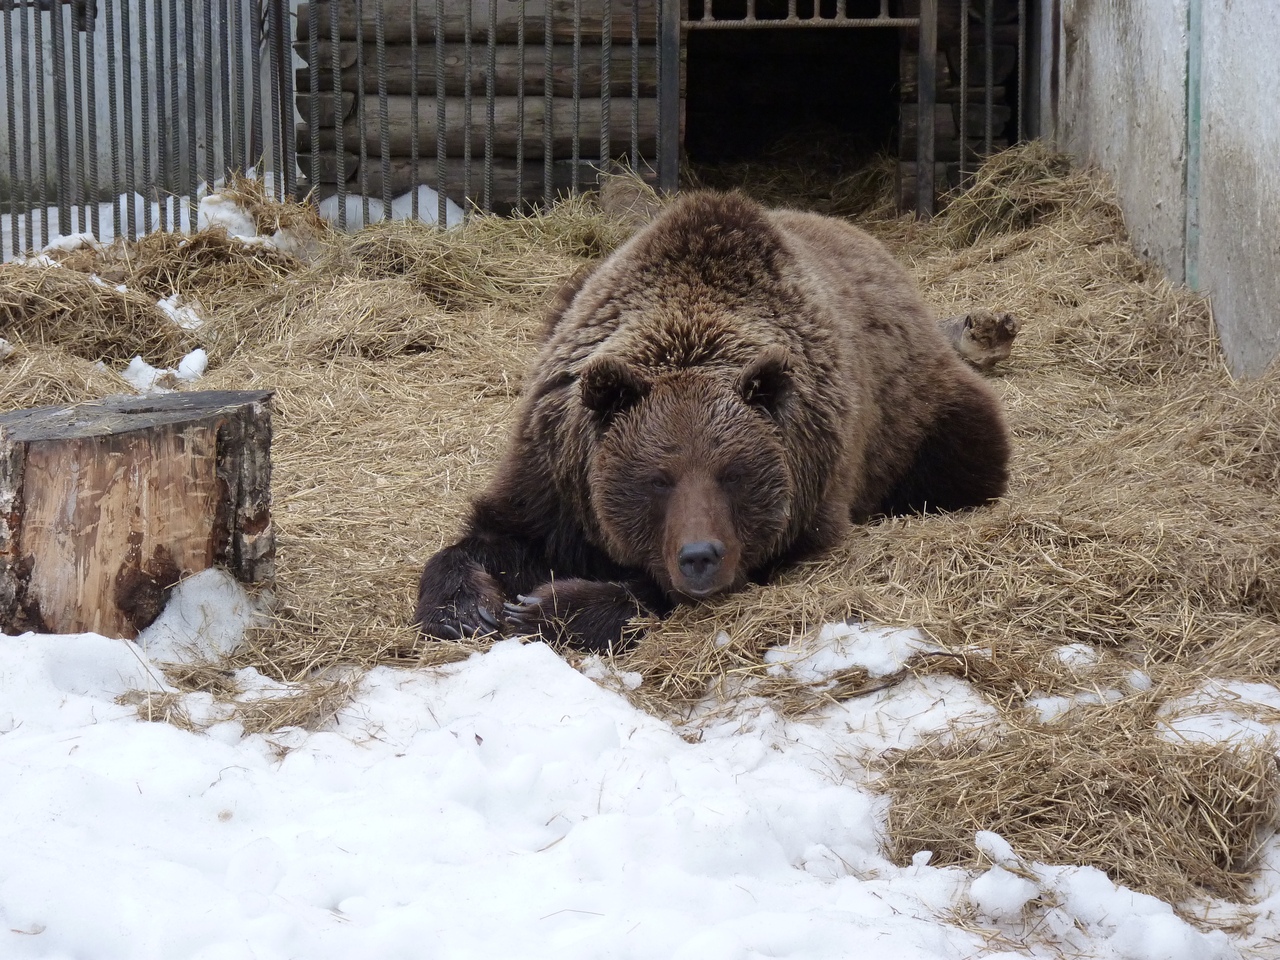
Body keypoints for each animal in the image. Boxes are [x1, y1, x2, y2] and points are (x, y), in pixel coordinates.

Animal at [414, 190, 1010, 652]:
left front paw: (548, 605)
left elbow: (676, 585)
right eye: (658, 479)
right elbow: (496, 533)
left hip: (921, 413)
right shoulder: (556, 470)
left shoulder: (809, 490)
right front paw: (469, 607)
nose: (699, 556)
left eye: (733, 474)